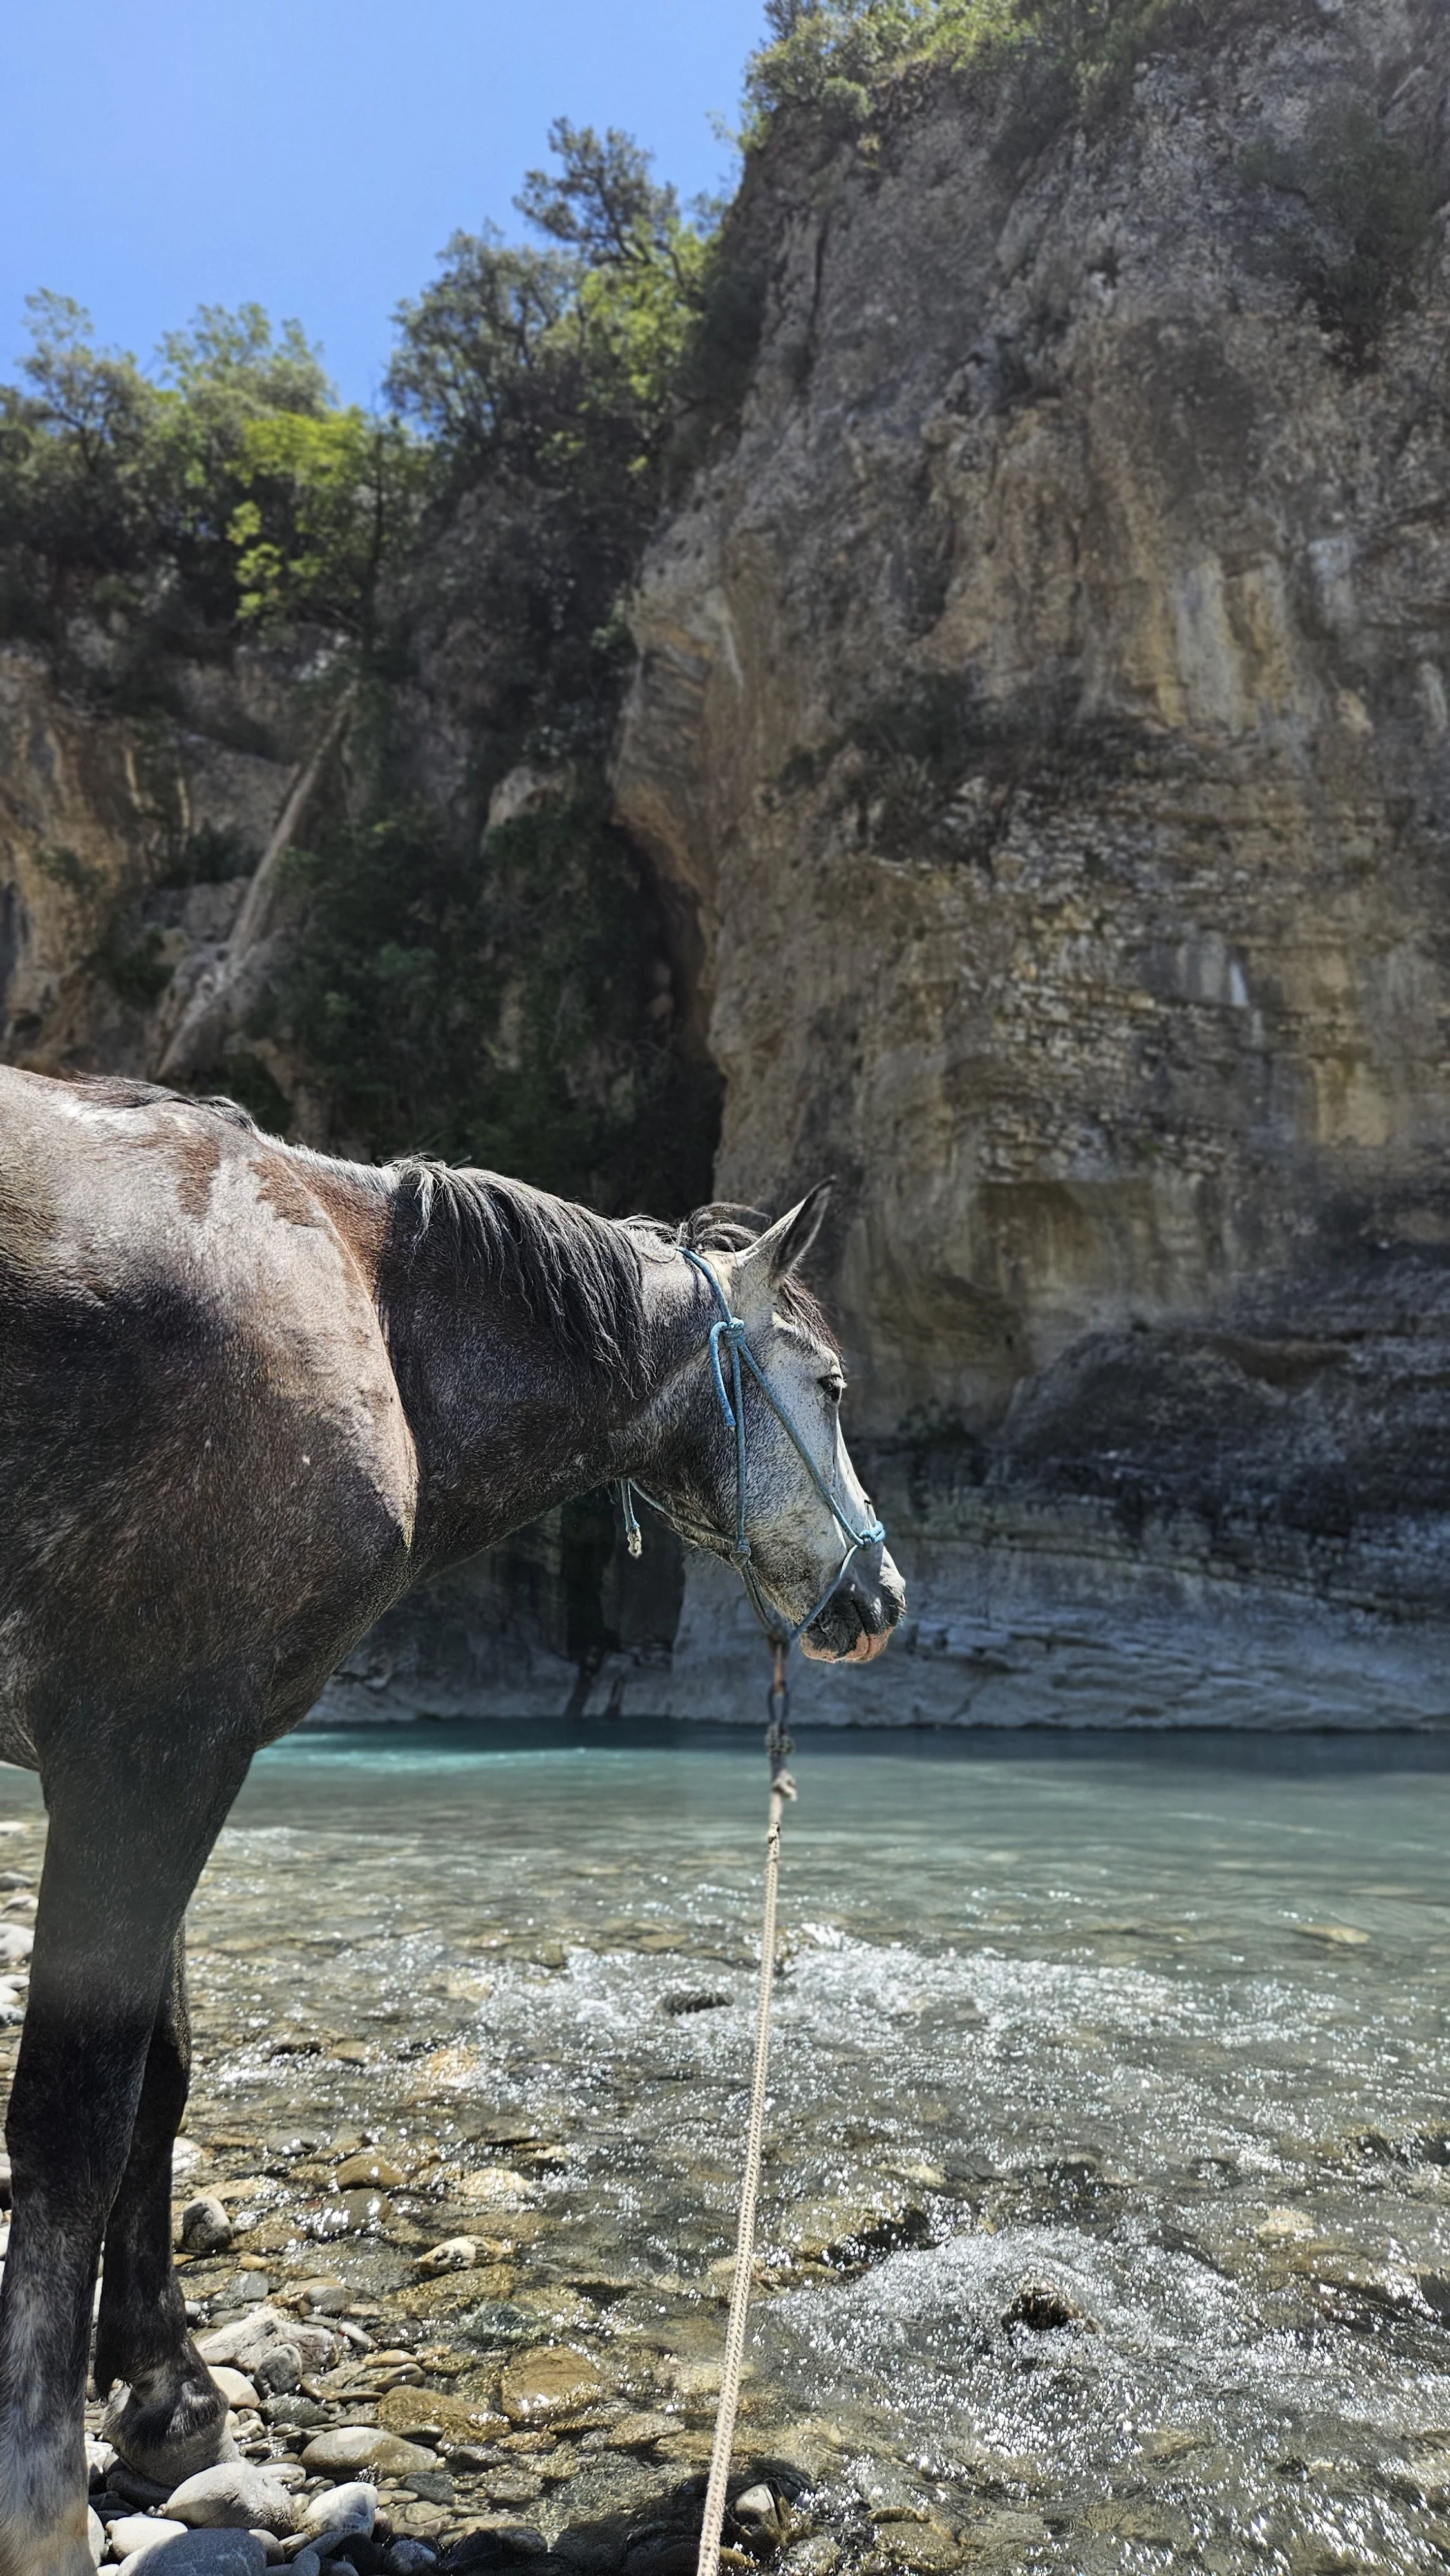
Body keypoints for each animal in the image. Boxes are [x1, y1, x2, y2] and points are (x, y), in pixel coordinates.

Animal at [0, 1065, 904, 2575]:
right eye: (828, 1387)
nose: (880, 1598)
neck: (367, 1309)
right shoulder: (153, 1750)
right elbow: (74, 2123)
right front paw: (46, 2502)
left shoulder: (149, 1766)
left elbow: (161, 2079)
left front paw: (168, 2393)